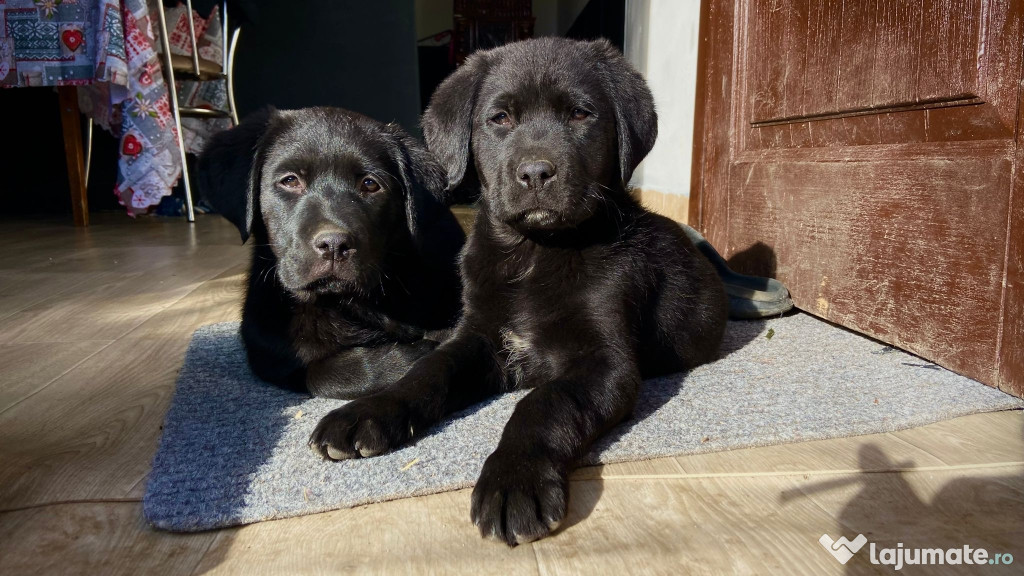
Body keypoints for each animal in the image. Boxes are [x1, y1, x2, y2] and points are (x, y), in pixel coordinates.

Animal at [199, 107, 464, 401]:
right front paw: (406, 358)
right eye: (290, 180)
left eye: (370, 184)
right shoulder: (268, 348)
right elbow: (322, 373)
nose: (334, 245)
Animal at [305, 39, 729, 541]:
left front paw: (514, 479)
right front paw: (366, 411)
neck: (532, 254)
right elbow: (427, 371)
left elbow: (544, 402)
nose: (536, 173)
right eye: (500, 118)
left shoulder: (605, 361)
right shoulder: (477, 334)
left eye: (581, 114)